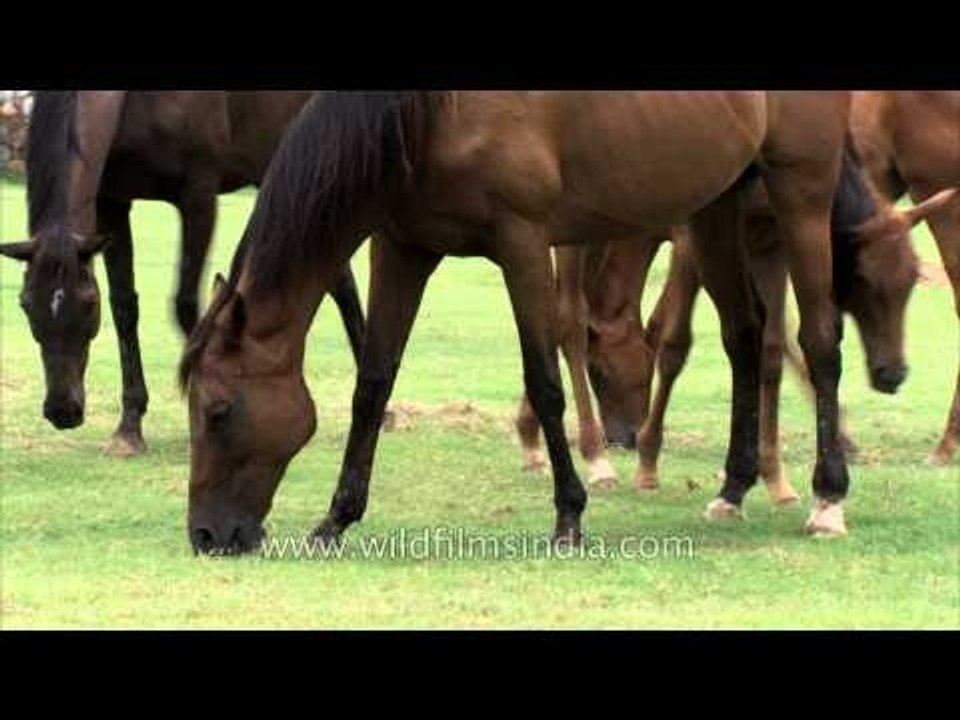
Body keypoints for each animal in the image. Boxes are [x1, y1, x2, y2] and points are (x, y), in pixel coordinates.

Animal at [0, 91, 367, 456]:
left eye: (89, 304)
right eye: (25, 304)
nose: (62, 410)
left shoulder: (198, 194)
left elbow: (187, 305)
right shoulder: (113, 203)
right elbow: (124, 307)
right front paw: (129, 428)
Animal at [180, 91, 862, 556]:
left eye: (218, 411)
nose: (207, 535)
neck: (426, 110)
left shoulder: (524, 244)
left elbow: (545, 380)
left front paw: (570, 515)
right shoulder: (401, 249)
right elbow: (372, 385)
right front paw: (336, 519)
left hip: (800, 189)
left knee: (819, 344)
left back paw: (828, 497)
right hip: (715, 206)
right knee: (743, 338)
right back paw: (733, 489)